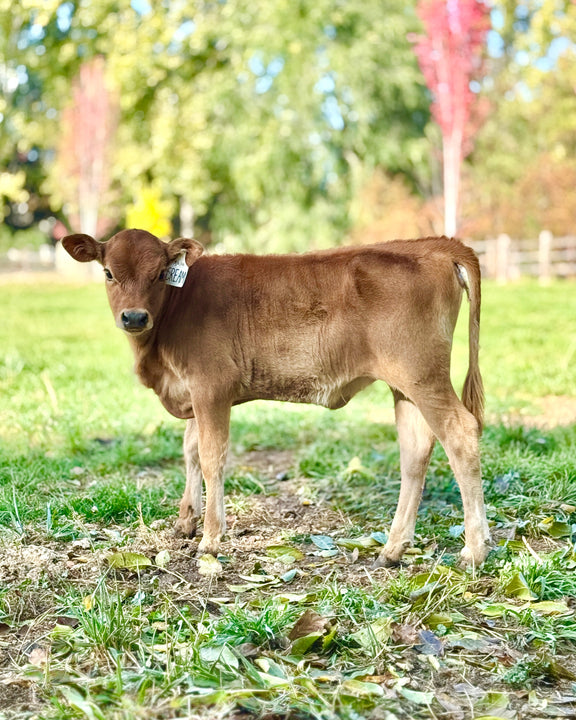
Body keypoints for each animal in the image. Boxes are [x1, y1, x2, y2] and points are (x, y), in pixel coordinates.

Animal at [62, 229, 491, 567]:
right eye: (108, 272)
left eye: (158, 275)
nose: (134, 318)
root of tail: (433, 244)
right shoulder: (193, 394)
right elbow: (190, 450)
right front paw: (186, 521)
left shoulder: (210, 387)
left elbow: (211, 457)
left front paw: (211, 539)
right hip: (405, 386)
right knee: (415, 451)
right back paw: (393, 548)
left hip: (423, 376)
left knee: (460, 433)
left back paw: (474, 550)